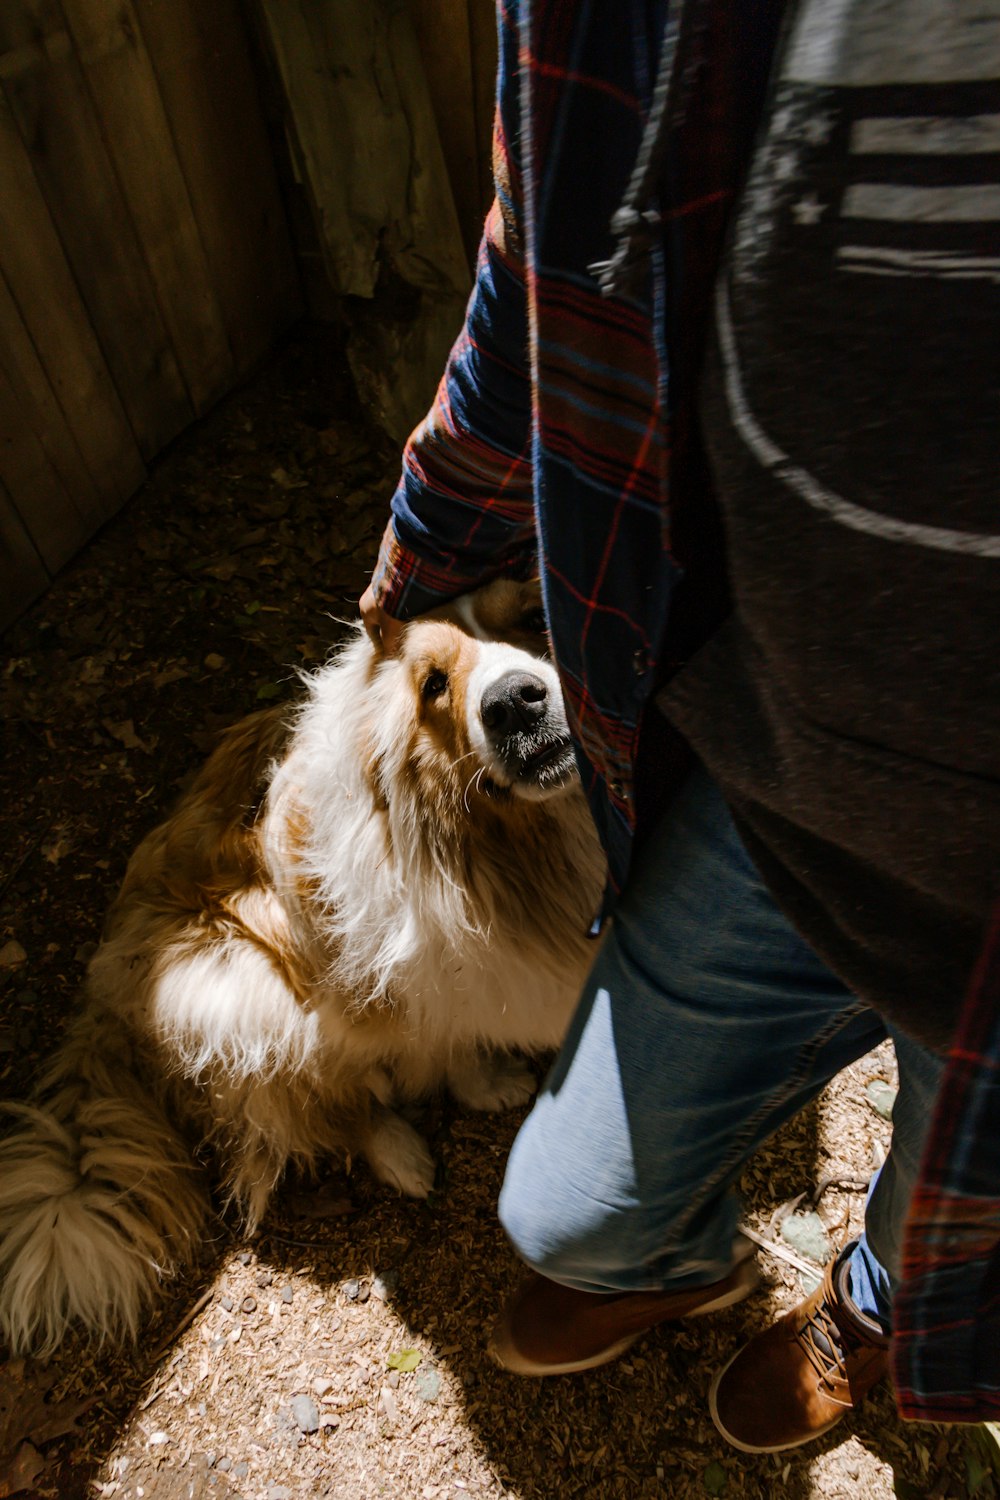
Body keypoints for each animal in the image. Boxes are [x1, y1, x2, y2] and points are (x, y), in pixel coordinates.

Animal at [0, 579, 602, 1356]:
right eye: (434, 685)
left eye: (536, 615)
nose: (512, 704)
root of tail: (102, 998)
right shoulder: (395, 976)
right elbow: (446, 1043)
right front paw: (481, 1086)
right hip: (245, 995)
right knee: (320, 1103)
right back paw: (401, 1153)